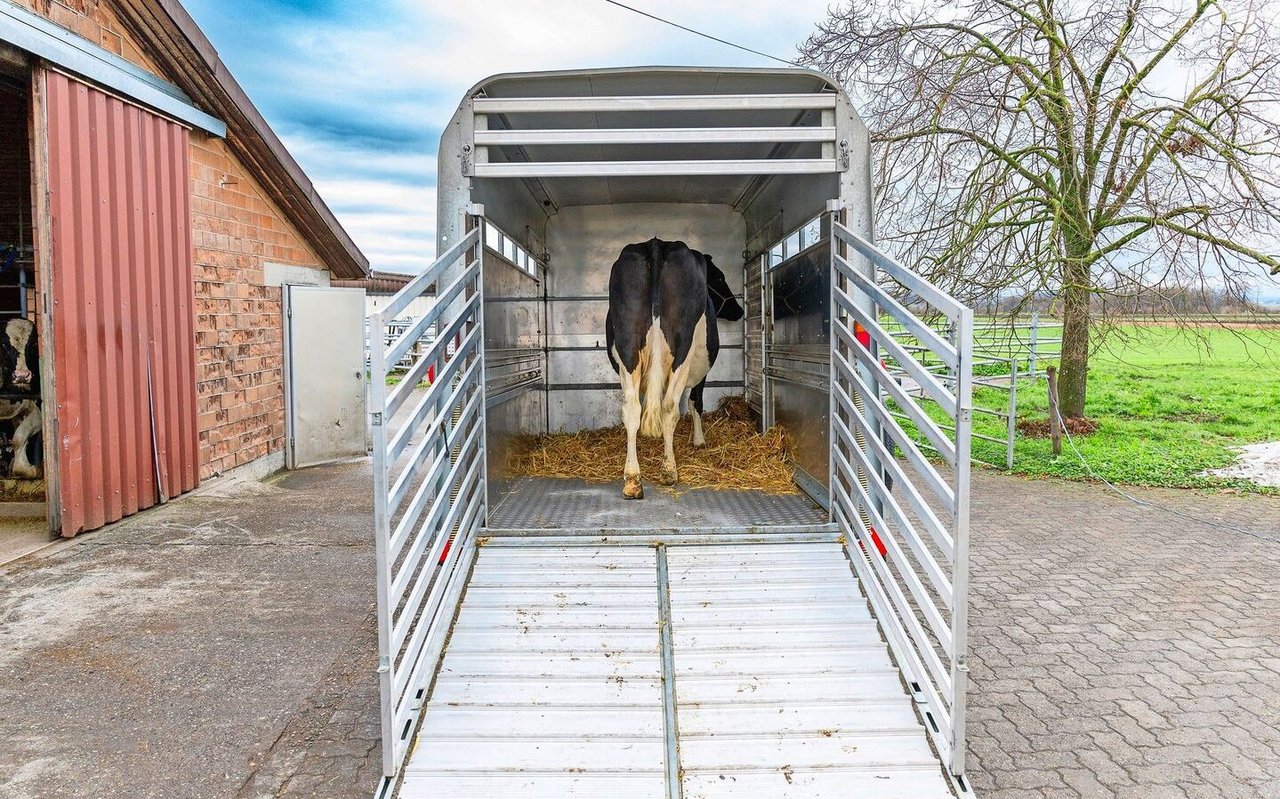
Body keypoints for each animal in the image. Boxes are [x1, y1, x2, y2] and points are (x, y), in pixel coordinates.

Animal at [604, 238, 747, 499]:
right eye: (720, 278)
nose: (739, 311)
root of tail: (656, 244)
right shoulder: (701, 371)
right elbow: (695, 402)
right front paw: (698, 440)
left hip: (627, 347)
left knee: (632, 407)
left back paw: (633, 479)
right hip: (682, 350)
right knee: (670, 407)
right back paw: (669, 470)